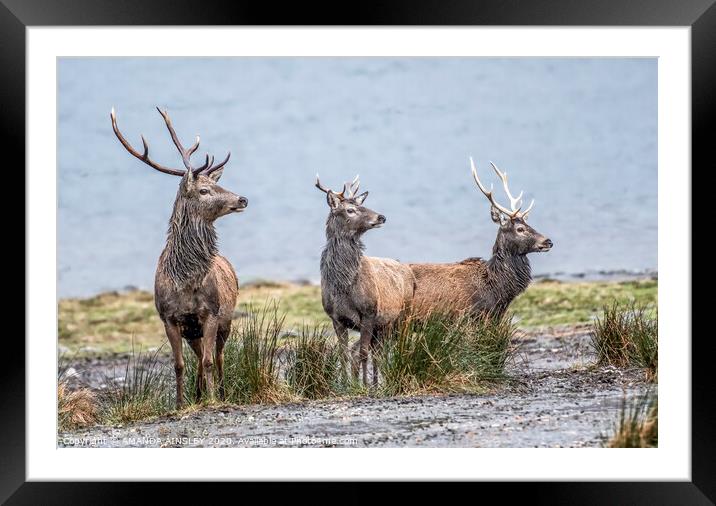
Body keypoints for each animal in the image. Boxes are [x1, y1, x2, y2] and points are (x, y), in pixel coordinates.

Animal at [110, 106, 249, 408]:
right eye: (204, 190)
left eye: (216, 184)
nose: (243, 199)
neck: (185, 283)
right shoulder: (170, 319)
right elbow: (179, 365)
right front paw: (180, 404)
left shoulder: (212, 313)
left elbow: (208, 362)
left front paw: (212, 400)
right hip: (192, 331)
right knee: (198, 359)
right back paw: (197, 394)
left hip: (227, 320)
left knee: (218, 357)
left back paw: (221, 392)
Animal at [318, 176, 416, 386]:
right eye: (350, 210)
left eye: (362, 204)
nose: (381, 217)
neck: (343, 286)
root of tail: (409, 271)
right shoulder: (335, 317)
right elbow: (343, 354)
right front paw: (346, 384)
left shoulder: (369, 311)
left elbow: (363, 353)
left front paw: (362, 385)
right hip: (383, 326)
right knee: (378, 351)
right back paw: (376, 382)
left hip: (405, 315)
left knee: (394, 348)